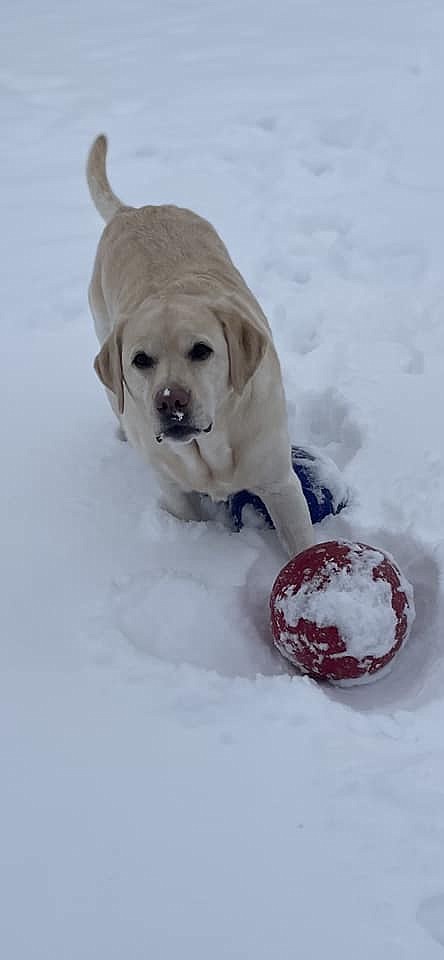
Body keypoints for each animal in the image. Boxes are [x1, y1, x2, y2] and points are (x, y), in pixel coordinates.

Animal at [86, 134, 312, 556]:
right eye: (140, 360)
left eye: (202, 350)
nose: (170, 401)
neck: (211, 448)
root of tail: (132, 210)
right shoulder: (175, 491)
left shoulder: (280, 484)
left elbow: (304, 544)